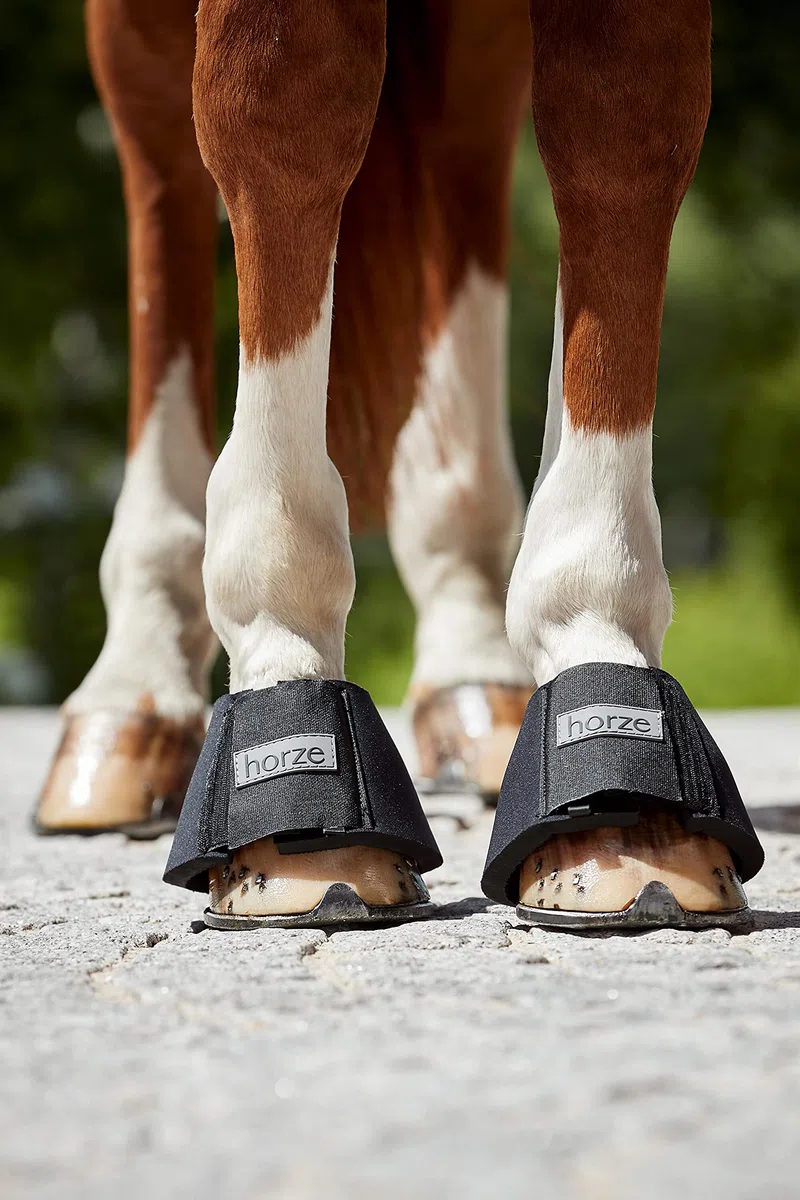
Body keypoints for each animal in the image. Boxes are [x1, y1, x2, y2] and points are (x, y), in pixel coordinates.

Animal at [35, 0, 764, 931]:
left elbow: (622, 124)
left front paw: (595, 640)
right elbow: (283, 109)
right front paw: (284, 641)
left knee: (464, 152)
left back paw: (474, 681)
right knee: (159, 161)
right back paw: (129, 698)